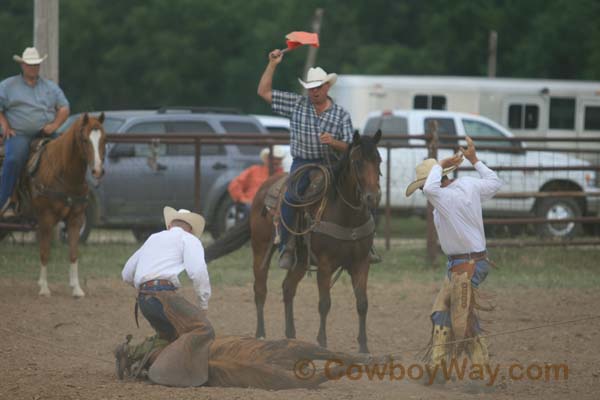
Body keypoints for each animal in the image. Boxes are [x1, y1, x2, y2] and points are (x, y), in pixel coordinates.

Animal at [25, 112, 106, 296]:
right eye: (84, 139)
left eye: (104, 138)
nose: (98, 171)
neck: (66, 176)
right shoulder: (46, 218)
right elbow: (45, 251)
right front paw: (44, 288)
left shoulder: (76, 219)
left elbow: (74, 252)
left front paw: (76, 288)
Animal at [251, 131, 382, 354]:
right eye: (357, 163)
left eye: (378, 160)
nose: (372, 197)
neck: (347, 216)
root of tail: (264, 188)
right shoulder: (325, 264)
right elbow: (324, 303)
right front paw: (322, 343)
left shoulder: (362, 262)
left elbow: (362, 303)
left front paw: (364, 348)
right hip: (260, 248)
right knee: (260, 288)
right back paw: (260, 334)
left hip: (301, 260)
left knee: (288, 287)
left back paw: (291, 336)